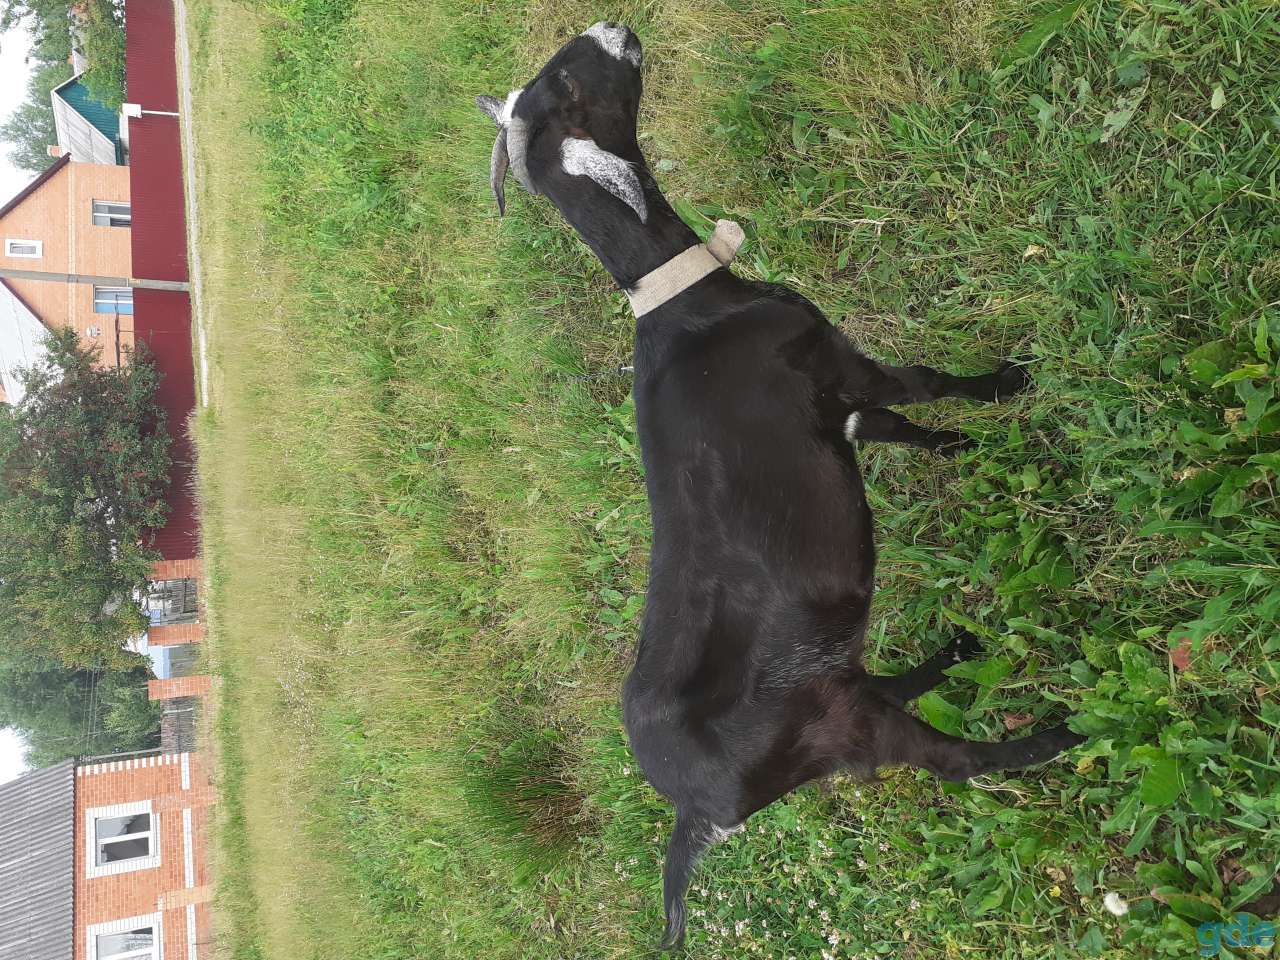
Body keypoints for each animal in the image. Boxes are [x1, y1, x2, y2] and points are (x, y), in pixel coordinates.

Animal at [476, 22, 1084, 951]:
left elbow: (905, 428)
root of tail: (694, 812)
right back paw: (1064, 733)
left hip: (830, 694)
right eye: (573, 72)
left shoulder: (841, 417)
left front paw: (962, 448)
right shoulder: (839, 365)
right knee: (958, 759)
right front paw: (1006, 386)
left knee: (885, 682)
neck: (685, 297)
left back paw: (959, 651)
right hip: (844, 725)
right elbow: (924, 382)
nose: (616, 28)